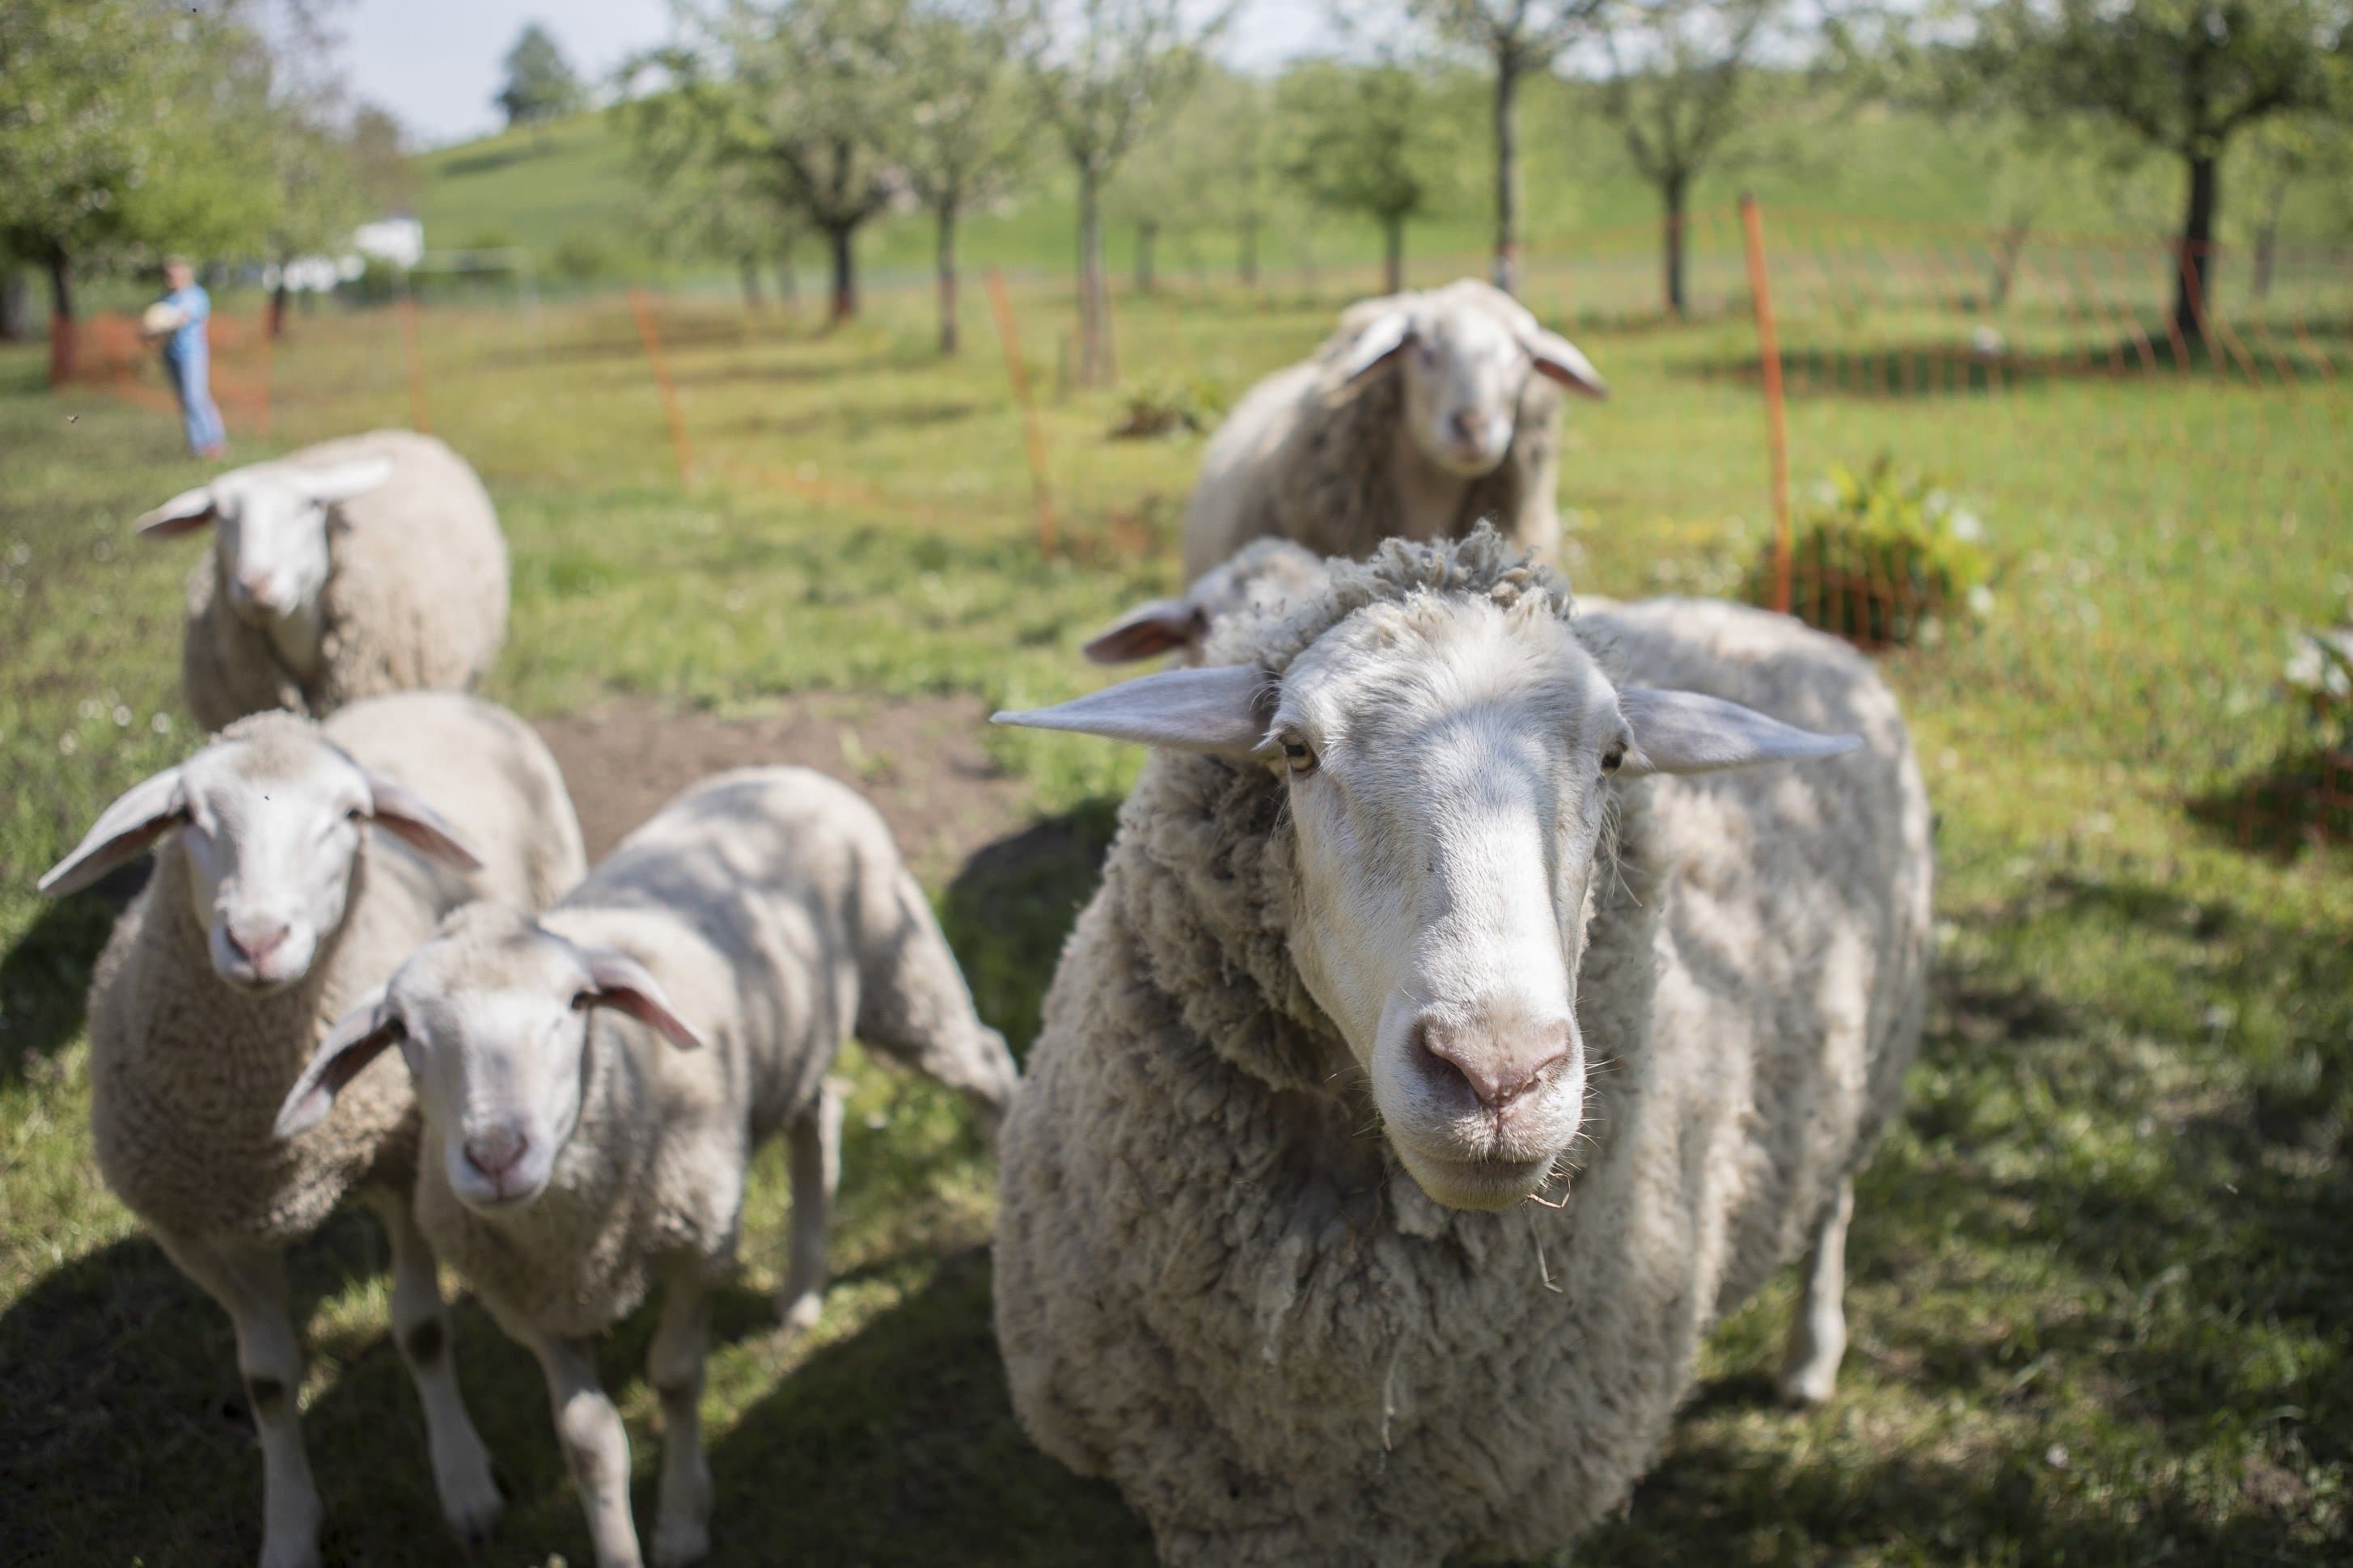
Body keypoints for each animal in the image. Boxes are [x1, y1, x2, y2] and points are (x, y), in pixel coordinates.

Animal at [38, 691, 587, 1568]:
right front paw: (289, 1527)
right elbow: (266, 1381)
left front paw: (466, 1486)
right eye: (188, 815)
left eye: (350, 815)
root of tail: (419, 694)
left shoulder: (400, 1163)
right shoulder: (201, 1229)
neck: (260, 1119)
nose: (258, 940)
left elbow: (421, 1329)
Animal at [275, 766, 1021, 1568]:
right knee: (817, 1123)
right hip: (794, 1042)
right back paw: (801, 1293)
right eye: (400, 1029)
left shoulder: (701, 1241)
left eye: (577, 1001)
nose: (497, 1155)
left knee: (987, 1068)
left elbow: (676, 1376)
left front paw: (683, 1519)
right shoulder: (531, 1303)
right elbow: (588, 1442)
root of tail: (781, 773)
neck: (573, 1238)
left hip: (905, 980)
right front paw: (619, 1541)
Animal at [989, 530, 1933, 1568]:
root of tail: (1772, 616)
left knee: (1832, 1203)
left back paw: (1809, 1356)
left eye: (1613, 756)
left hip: (1870, 1051)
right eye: (1294, 749)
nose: (1496, 1073)